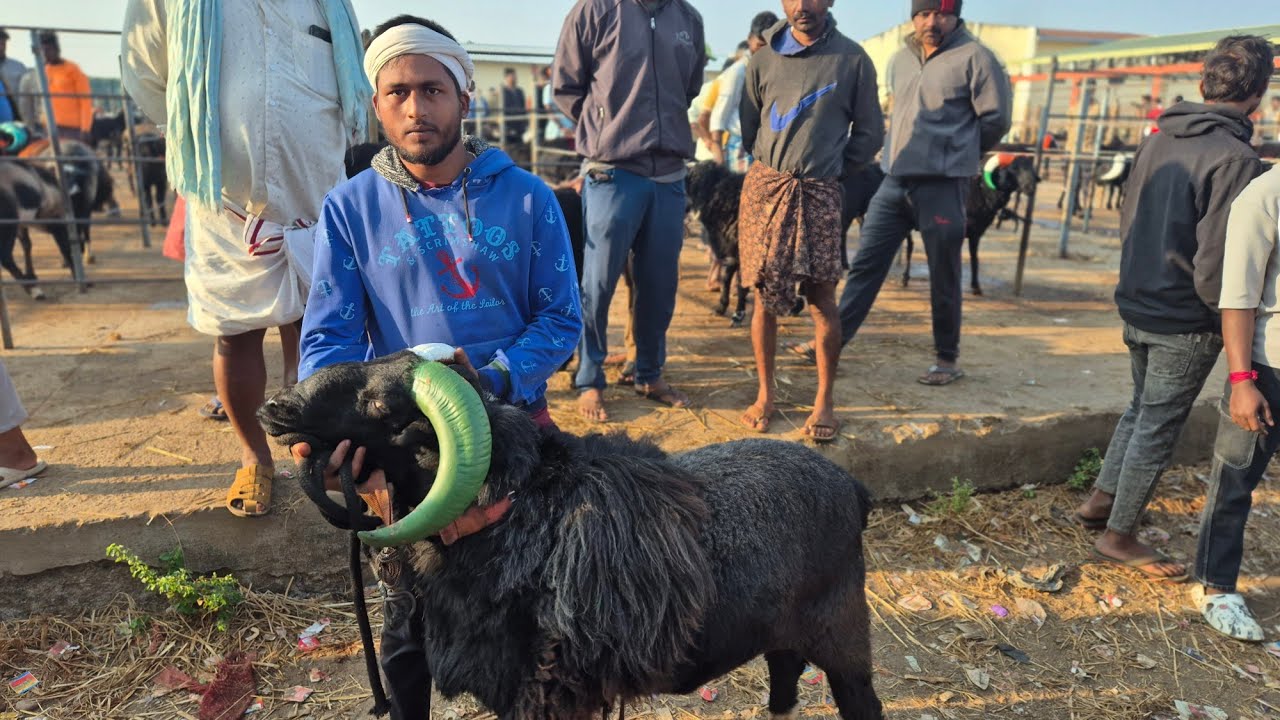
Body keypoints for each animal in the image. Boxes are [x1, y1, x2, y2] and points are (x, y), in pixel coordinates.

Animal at [259, 349, 883, 720]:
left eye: (378, 403)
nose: (275, 406)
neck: (519, 512)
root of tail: (853, 486)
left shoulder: (548, 692)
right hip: (781, 632)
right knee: (785, 678)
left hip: (844, 634)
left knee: (862, 701)